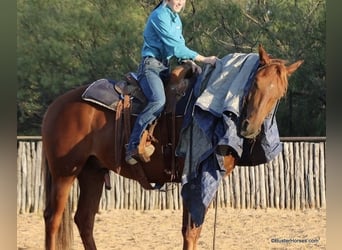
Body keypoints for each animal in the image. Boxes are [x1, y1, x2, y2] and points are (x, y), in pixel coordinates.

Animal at [42, 44, 302, 249]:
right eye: (255, 83)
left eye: (280, 92)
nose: (249, 127)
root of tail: (55, 106)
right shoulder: (194, 176)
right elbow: (190, 232)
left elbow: (193, 231)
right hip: (65, 172)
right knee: (53, 218)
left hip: (92, 172)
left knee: (84, 220)